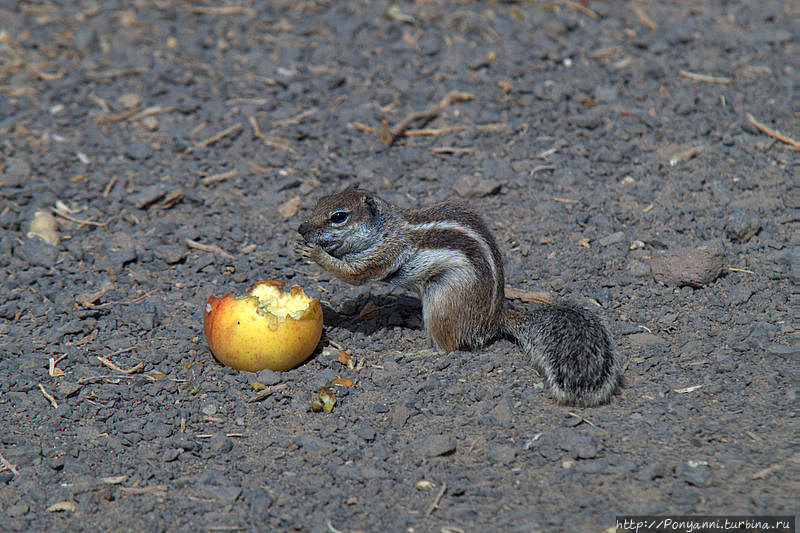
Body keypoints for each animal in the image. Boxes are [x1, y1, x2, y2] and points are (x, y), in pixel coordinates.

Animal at [296, 185, 620, 406]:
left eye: (339, 217)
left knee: (448, 348)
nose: (301, 228)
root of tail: (494, 319)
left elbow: (355, 274)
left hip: (441, 302)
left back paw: (417, 353)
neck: (387, 227)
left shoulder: (385, 253)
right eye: (319, 201)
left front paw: (315, 253)